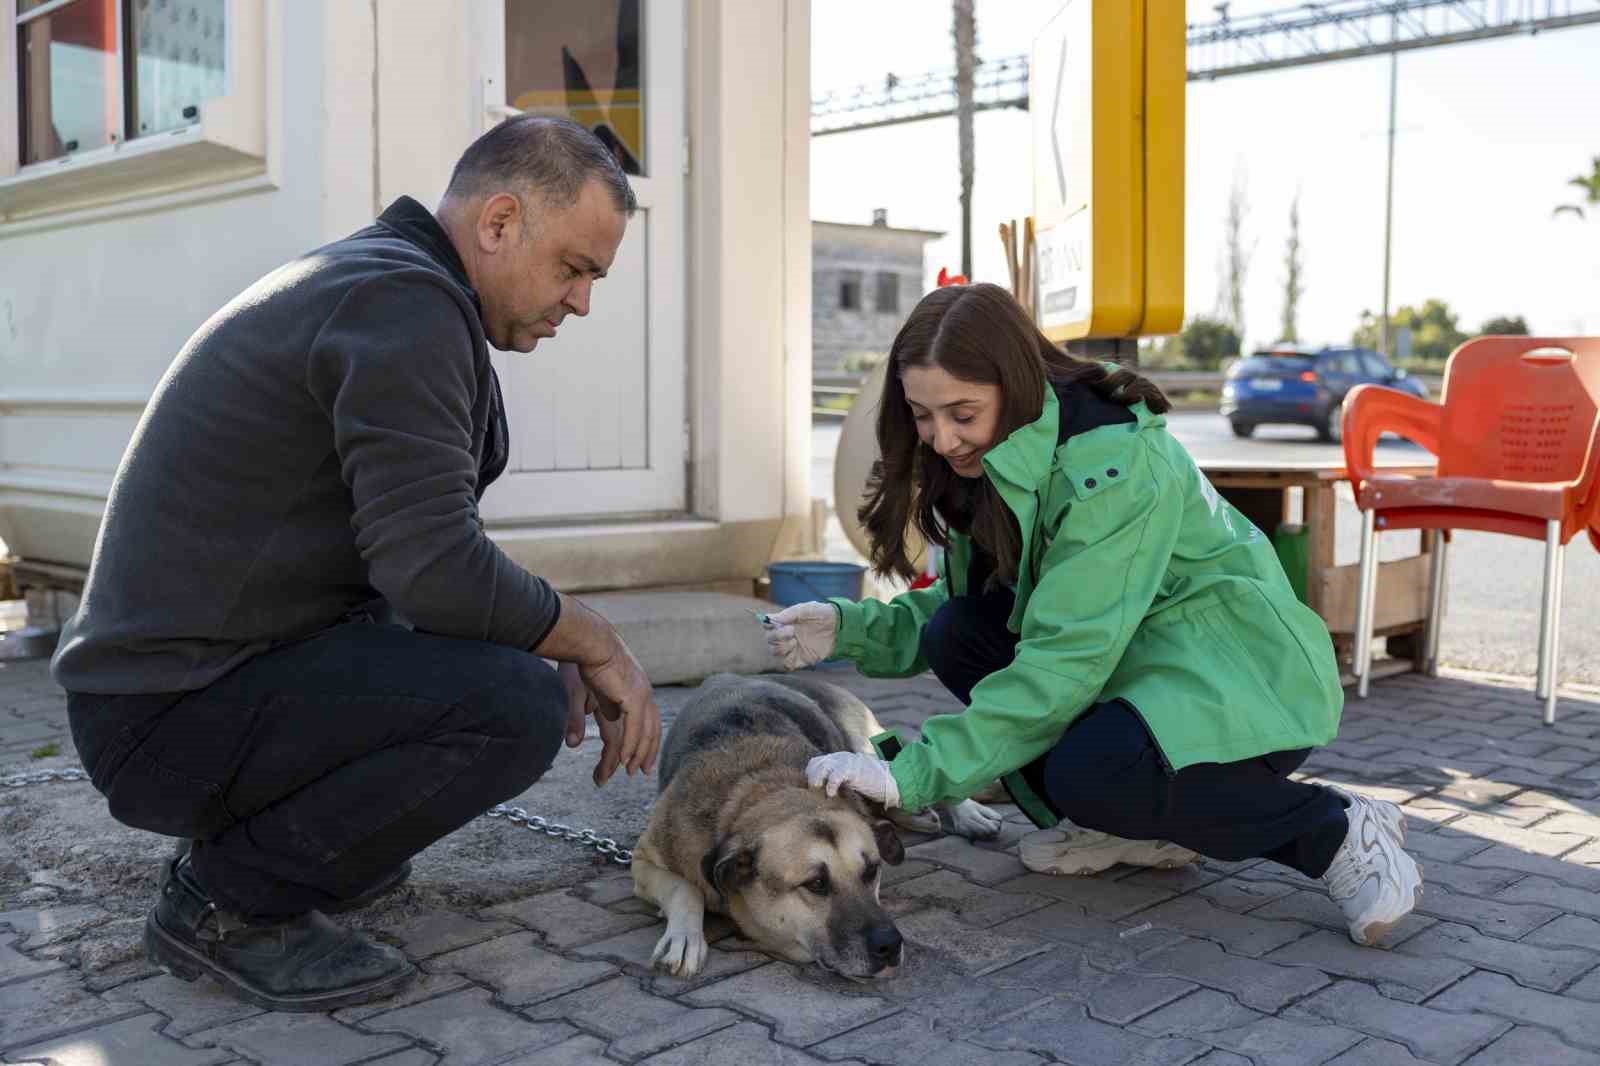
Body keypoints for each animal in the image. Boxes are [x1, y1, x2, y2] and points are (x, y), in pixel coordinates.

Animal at [627, 675, 992, 973]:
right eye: (816, 884)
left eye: (872, 870)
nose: (889, 946)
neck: (763, 786)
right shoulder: (644, 858)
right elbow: (685, 888)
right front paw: (685, 936)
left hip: (865, 746)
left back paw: (969, 813)